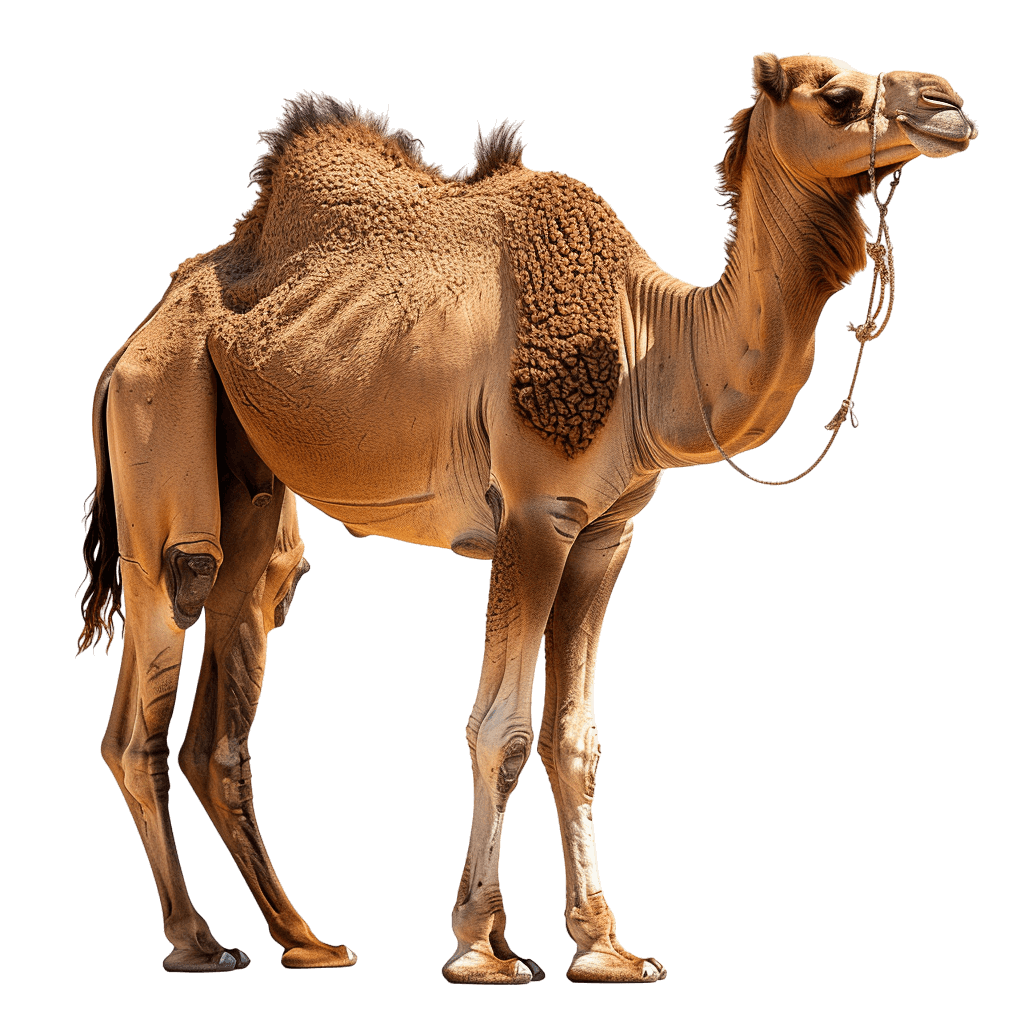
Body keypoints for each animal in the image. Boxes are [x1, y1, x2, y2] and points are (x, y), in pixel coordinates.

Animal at [79, 53, 976, 981]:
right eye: (837, 94)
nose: (949, 103)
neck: (648, 341)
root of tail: (131, 344)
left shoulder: (606, 533)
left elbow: (575, 741)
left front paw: (606, 946)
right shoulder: (533, 516)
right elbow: (499, 731)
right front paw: (481, 946)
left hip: (251, 484)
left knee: (229, 678)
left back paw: (308, 939)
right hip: (163, 415)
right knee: (160, 658)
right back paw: (198, 942)